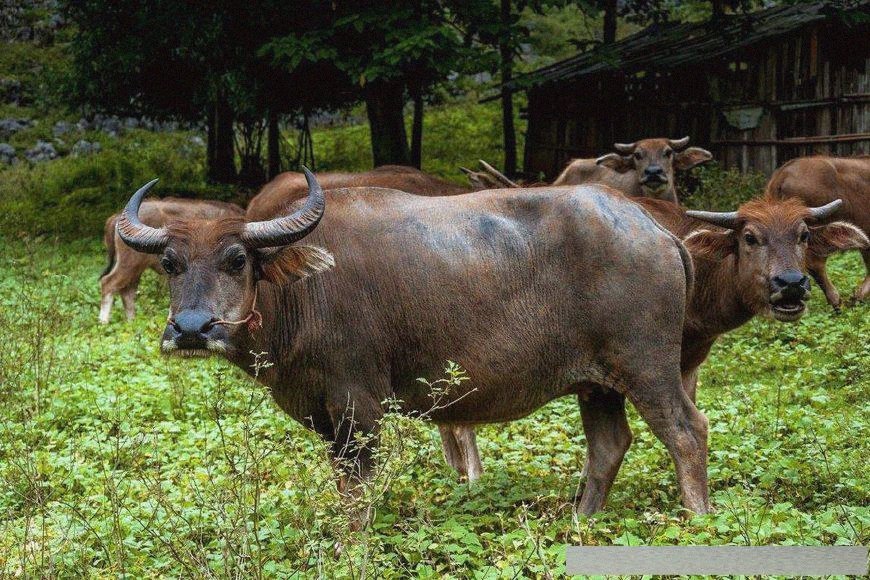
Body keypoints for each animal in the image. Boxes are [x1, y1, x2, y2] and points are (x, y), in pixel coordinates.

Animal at [101, 198, 245, 324]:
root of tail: (117, 218)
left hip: (136, 268)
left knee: (127, 291)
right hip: (129, 263)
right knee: (108, 283)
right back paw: (104, 322)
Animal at [119, 170, 712, 516]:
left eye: (237, 259)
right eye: (169, 263)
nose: (191, 328)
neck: (305, 292)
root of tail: (657, 232)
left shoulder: (359, 405)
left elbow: (357, 490)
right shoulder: (326, 416)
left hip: (646, 365)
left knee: (687, 431)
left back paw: (696, 518)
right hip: (597, 383)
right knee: (610, 444)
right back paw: (582, 518)